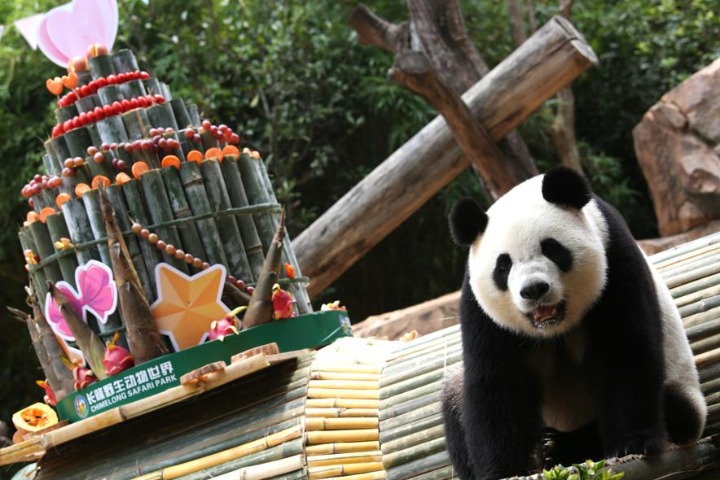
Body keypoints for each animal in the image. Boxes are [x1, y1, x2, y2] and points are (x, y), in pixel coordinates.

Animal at [442, 166, 704, 480]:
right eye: (503, 265)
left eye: (551, 248)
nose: (533, 290)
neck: (554, 327)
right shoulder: (480, 309)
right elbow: (497, 382)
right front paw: (504, 469)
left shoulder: (615, 259)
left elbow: (624, 350)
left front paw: (633, 443)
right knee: (455, 397)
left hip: (682, 386)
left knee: (675, 408)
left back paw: (560, 445)